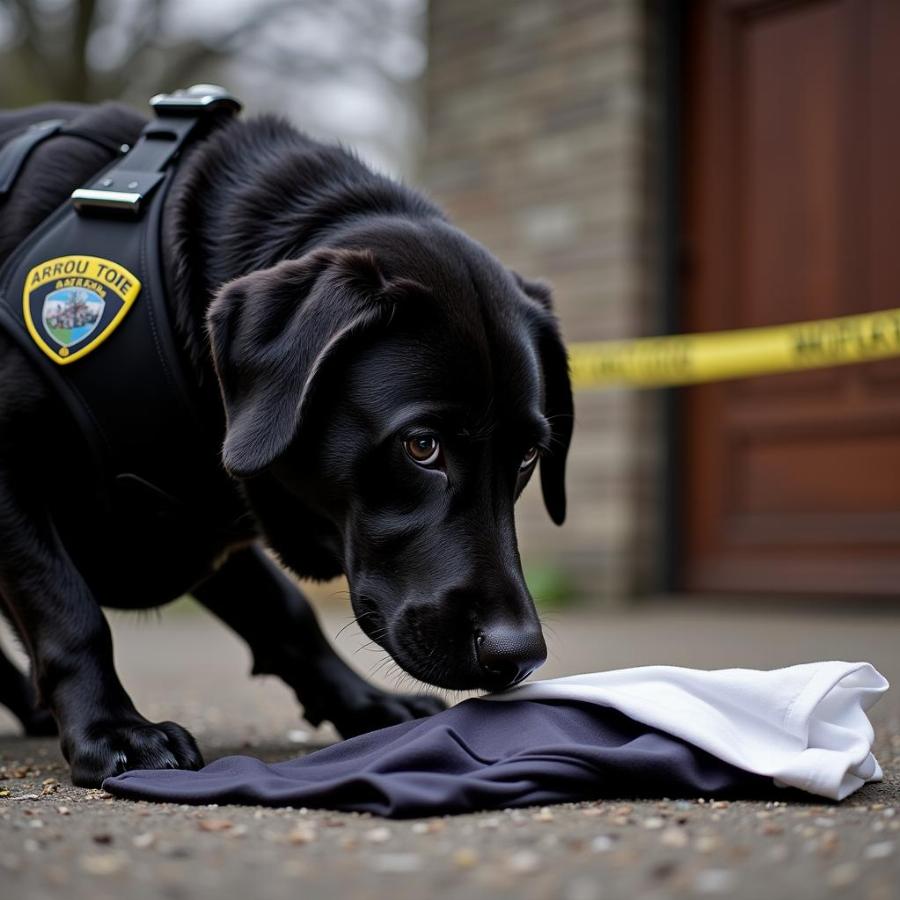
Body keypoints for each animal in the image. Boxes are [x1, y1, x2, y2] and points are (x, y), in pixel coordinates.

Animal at [0, 100, 572, 788]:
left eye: (528, 456)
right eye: (422, 446)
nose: (520, 655)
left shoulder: (194, 503)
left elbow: (284, 611)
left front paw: (360, 701)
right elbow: (68, 607)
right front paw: (113, 729)